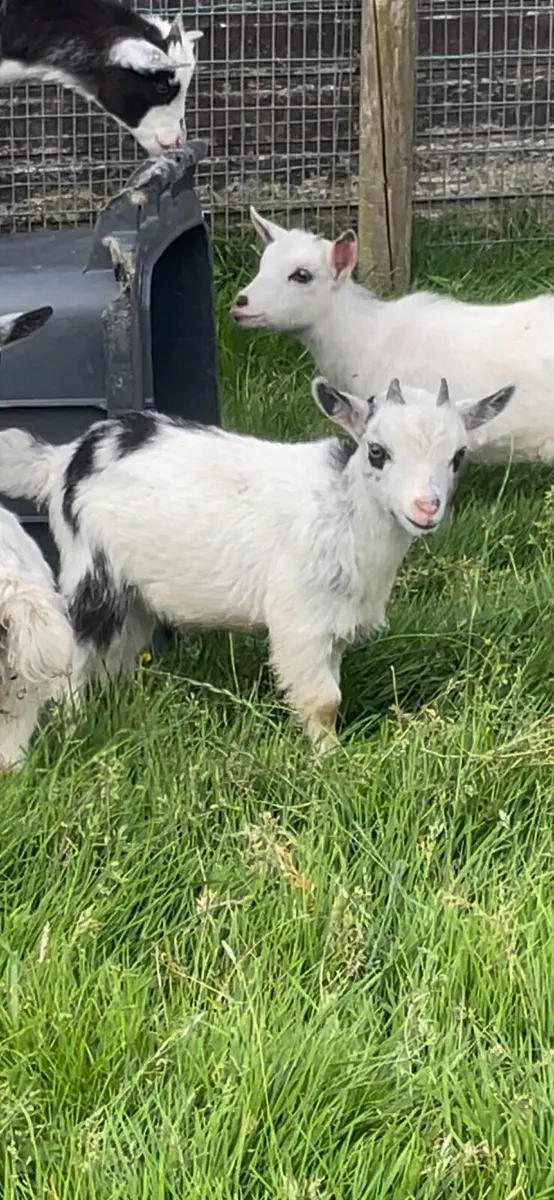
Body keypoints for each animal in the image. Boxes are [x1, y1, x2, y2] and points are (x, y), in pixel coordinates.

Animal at [0, 376, 513, 752]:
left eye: (458, 456)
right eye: (376, 451)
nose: (427, 508)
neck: (344, 514)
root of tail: (65, 460)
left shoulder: (333, 625)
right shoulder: (301, 620)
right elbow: (324, 700)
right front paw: (328, 759)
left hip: (134, 590)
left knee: (118, 652)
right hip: (91, 567)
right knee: (73, 652)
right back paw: (73, 724)